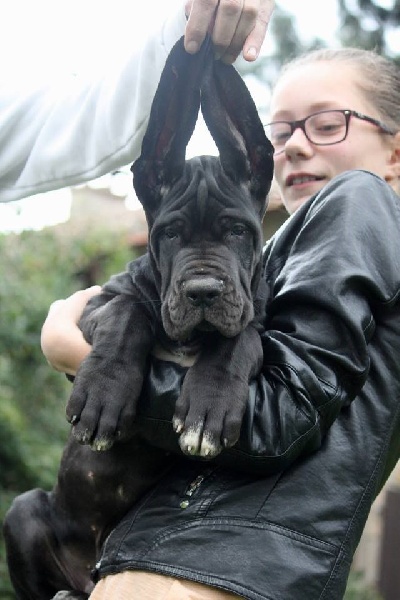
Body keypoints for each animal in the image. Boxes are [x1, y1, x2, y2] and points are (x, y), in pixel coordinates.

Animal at [3, 37, 274, 600]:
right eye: (169, 233)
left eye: (237, 231)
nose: (202, 291)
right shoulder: (96, 303)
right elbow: (129, 314)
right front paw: (104, 394)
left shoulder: (254, 319)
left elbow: (241, 338)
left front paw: (209, 406)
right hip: (24, 510)